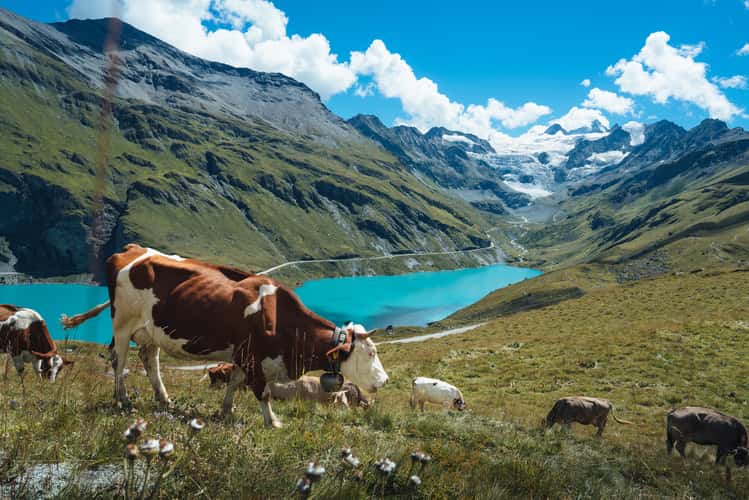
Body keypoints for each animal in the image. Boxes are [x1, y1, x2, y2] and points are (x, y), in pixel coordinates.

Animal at [61, 244, 389, 427]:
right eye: (370, 353)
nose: (385, 380)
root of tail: (131, 250)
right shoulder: (254, 358)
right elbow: (262, 392)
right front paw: (273, 422)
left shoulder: (244, 354)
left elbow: (233, 381)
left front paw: (226, 411)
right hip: (122, 323)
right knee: (119, 359)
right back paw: (123, 399)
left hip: (151, 329)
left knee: (149, 359)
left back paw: (164, 399)